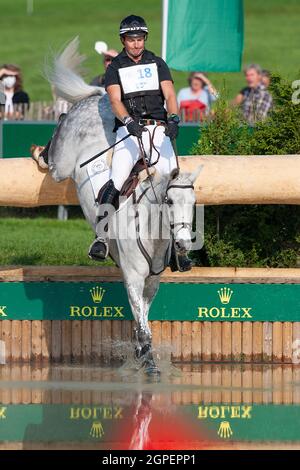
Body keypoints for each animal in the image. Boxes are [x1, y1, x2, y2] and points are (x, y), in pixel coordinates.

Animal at [43, 37, 200, 374]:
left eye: (193, 203)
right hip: (62, 163)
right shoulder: (133, 276)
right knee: (56, 150)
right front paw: (149, 362)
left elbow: (143, 315)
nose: (183, 243)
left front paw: (142, 352)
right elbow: (141, 321)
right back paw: (42, 149)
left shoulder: (152, 280)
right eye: (169, 201)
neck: (154, 236)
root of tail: (99, 98)